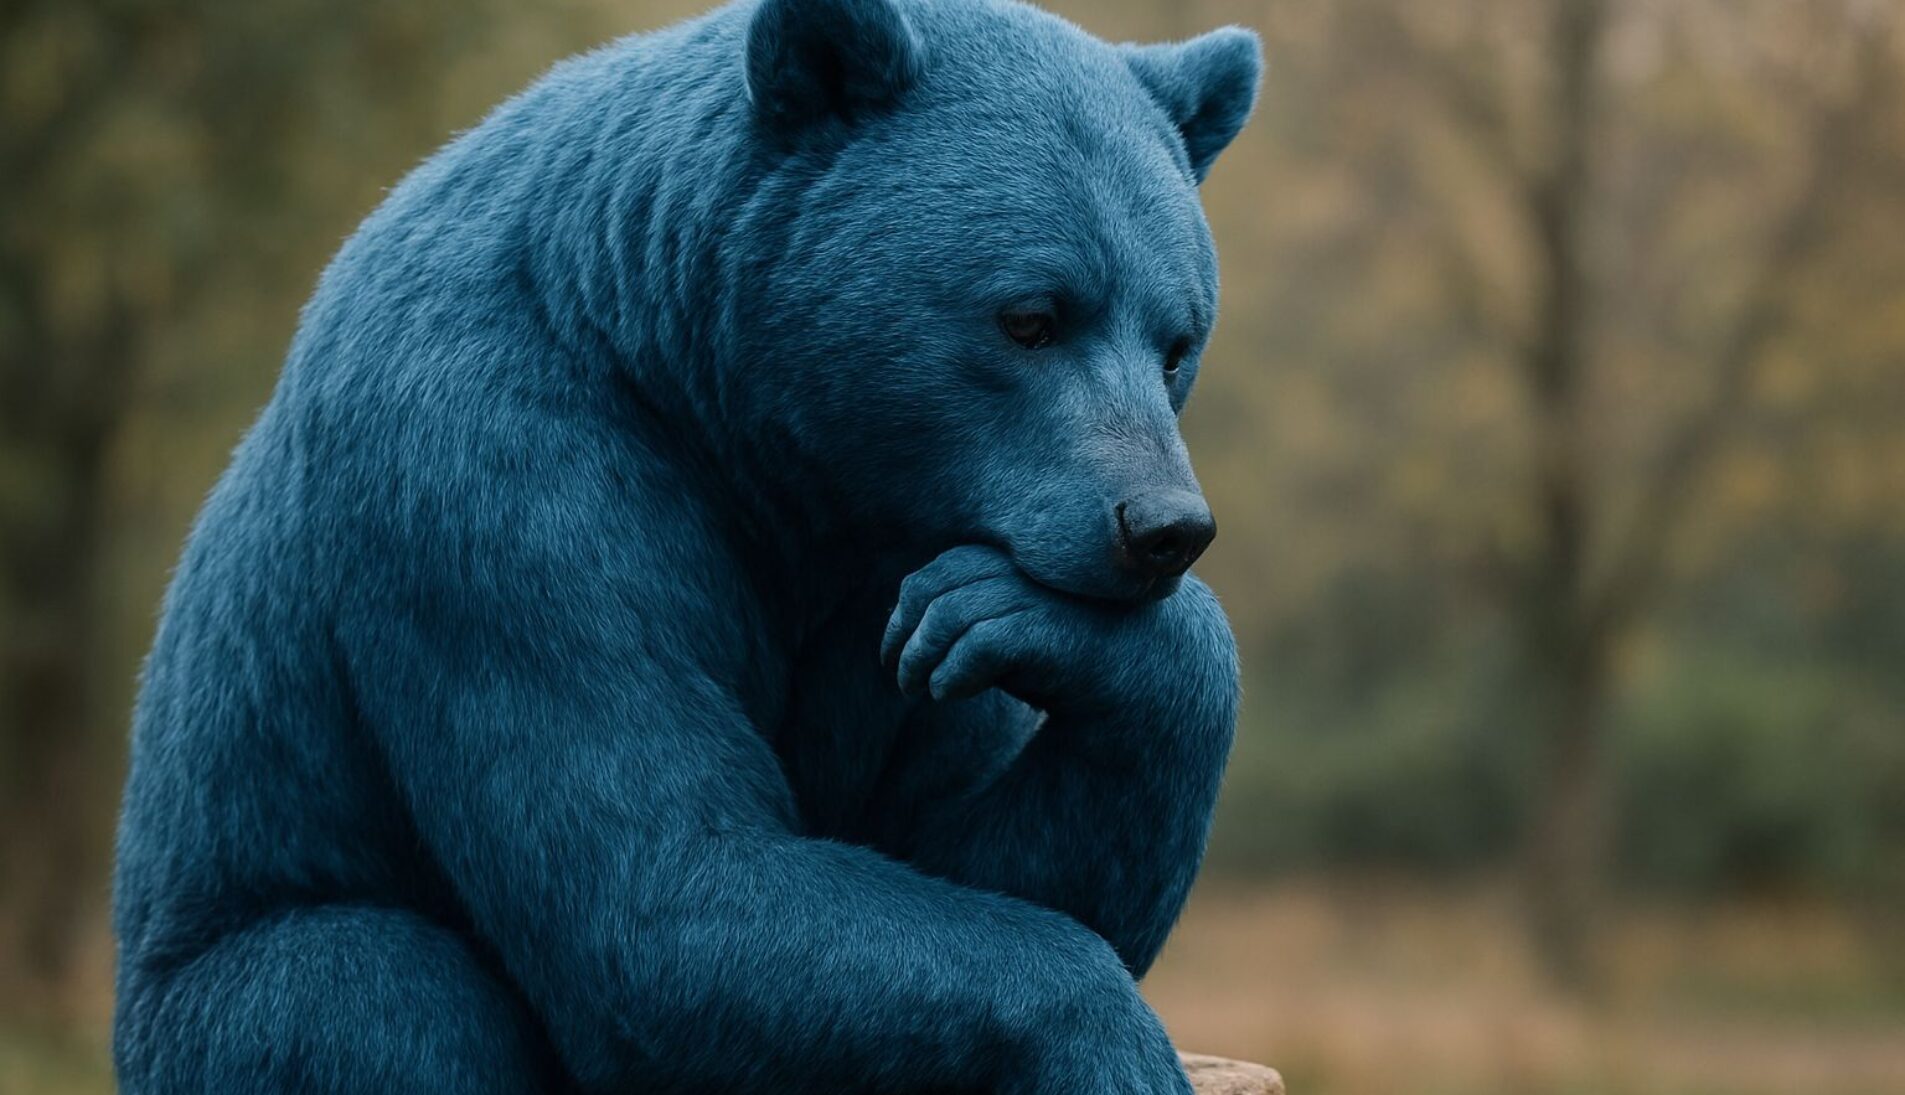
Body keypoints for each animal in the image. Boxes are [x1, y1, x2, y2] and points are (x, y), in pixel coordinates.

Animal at [111, 0, 1260, 1092]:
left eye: (1177, 339)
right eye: (1030, 316)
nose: (1161, 525)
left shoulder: (886, 590)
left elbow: (975, 848)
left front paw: (1049, 629)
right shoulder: (497, 481)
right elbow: (655, 890)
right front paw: (1115, 1049)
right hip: (217, 947)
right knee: (379, 991)